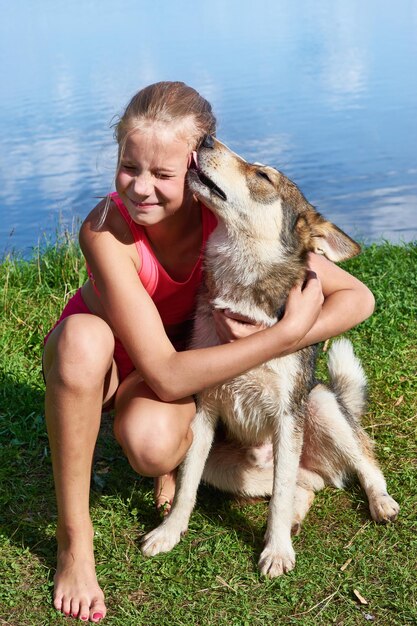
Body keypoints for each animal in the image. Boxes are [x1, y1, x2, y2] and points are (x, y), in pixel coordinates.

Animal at [141, 136, 400, 576]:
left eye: (262, 175)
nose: (205, 139)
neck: (242, 288)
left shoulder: (286, 416)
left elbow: (278, 497)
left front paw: (276, 551)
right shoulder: (204, 410)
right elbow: (187, 485)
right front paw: (169, 531)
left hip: (319, 404)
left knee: (363, 463)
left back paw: (380, 502)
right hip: (231, 469)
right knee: (307, 485)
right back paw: (297, 515)